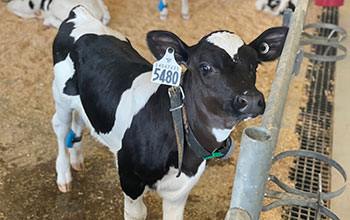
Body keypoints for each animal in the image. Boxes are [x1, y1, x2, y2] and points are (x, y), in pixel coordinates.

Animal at [51, 5, 288, 220]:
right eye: (205, 67)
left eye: (255, 65)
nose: (251, 100)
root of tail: (80, 12)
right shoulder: (129, 179)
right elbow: (137, 213)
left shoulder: (180, 190)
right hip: (60, 96)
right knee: (60, 127)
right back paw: (64, 176)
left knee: (80, 118)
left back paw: (77, 159)